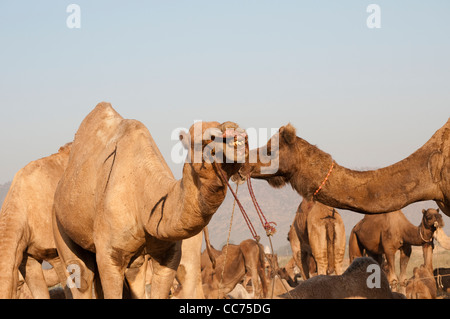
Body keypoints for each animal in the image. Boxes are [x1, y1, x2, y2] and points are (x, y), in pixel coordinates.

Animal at [53, 103, 250, 300]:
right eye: (206, 139)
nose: (237, 133)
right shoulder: (109, 256)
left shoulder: (168, 256)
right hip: (60, 226)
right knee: (82, 277)